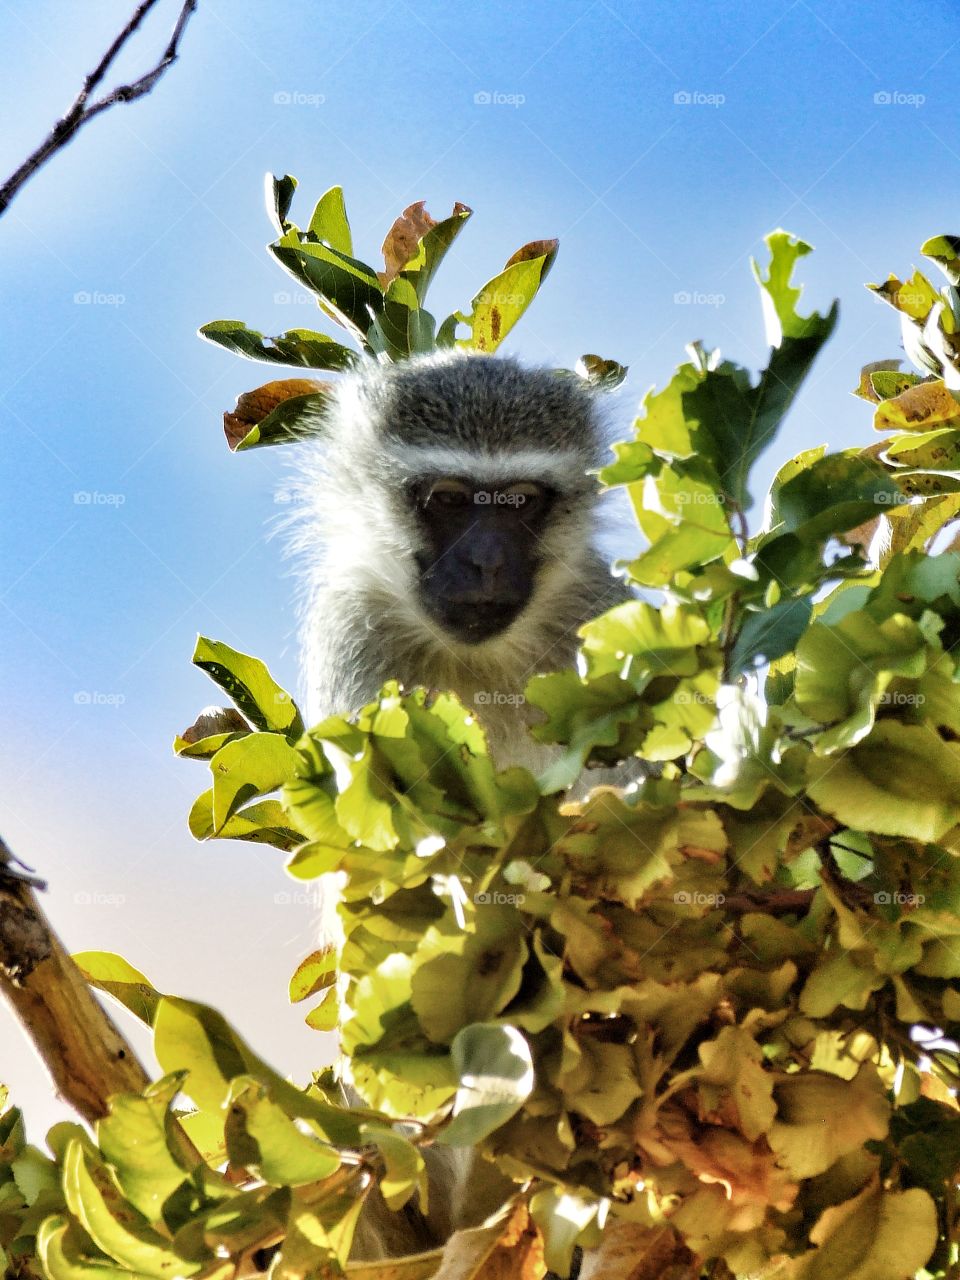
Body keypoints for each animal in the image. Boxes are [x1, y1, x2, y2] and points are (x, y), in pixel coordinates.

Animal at [284, 349, 628, 1268]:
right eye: (444, 499)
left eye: (523, 502)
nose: (486, 566)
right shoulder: (353, 640)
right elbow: (384, 881)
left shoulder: (600, 616)